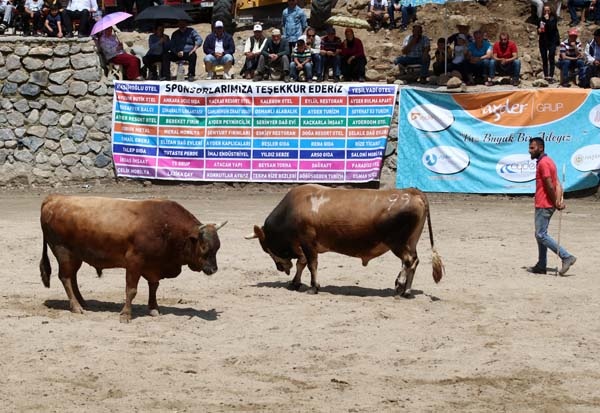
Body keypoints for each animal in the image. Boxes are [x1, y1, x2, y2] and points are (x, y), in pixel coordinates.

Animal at [39, 196, 226, 322]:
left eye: (218, 247)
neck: (165, 227)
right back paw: (76, 307)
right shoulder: (134, 262)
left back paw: (83, 302)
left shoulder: (153, 265)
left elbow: (154, 286)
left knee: (73, 277)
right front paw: (126, 315)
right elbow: (131, 290)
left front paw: (154, 309)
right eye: (204, 247)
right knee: (65, 278)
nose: (213, 269)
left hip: (76, 256)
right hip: (63, 252)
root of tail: (53, 199)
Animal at [246, 184, 442, 296]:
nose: (280, 268)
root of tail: (412, 192)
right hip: (411, 241)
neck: (293, 208)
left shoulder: (307, 243)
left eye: (267, 248)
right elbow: (302, 263)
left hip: (398, 243)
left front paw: (313, 287)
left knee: (409, 261)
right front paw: (294, 283)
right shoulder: (303, 246)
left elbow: (311, 264)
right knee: (412, 261)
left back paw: (402, 287)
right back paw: (405, 288)